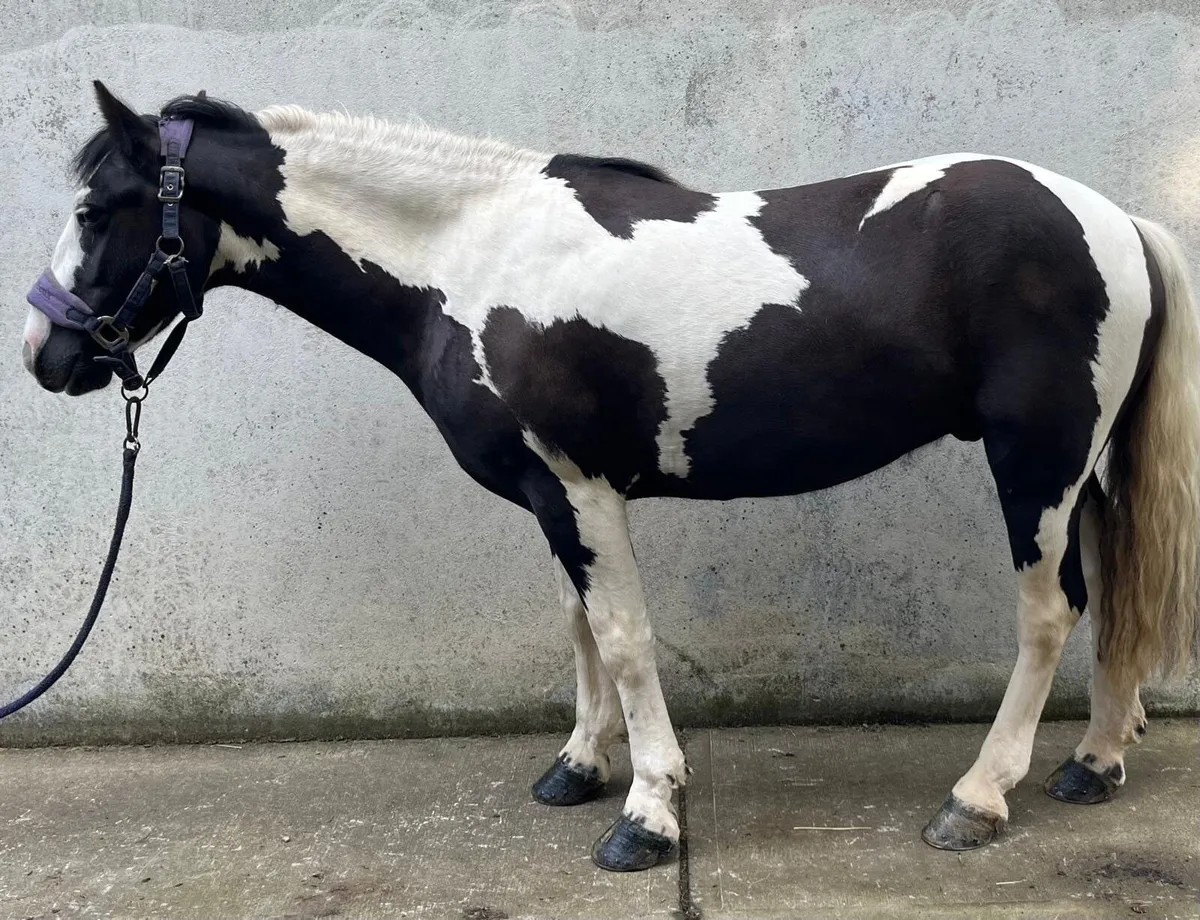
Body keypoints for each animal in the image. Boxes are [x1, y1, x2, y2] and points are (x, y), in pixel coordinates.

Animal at [20, 81, 1200, 872]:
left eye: (92, 211)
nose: (45, 355)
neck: (468, 258)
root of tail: (1112, 219)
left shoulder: (581, 489)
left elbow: (626, 639)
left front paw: (649, 813)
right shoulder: (553, 495)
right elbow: (579, 628)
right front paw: (580, 769)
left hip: (1034, 464)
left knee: (1051, 612)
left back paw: (979, 797)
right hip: (1079, 471)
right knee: (1112, 597)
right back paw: (1094, 761)